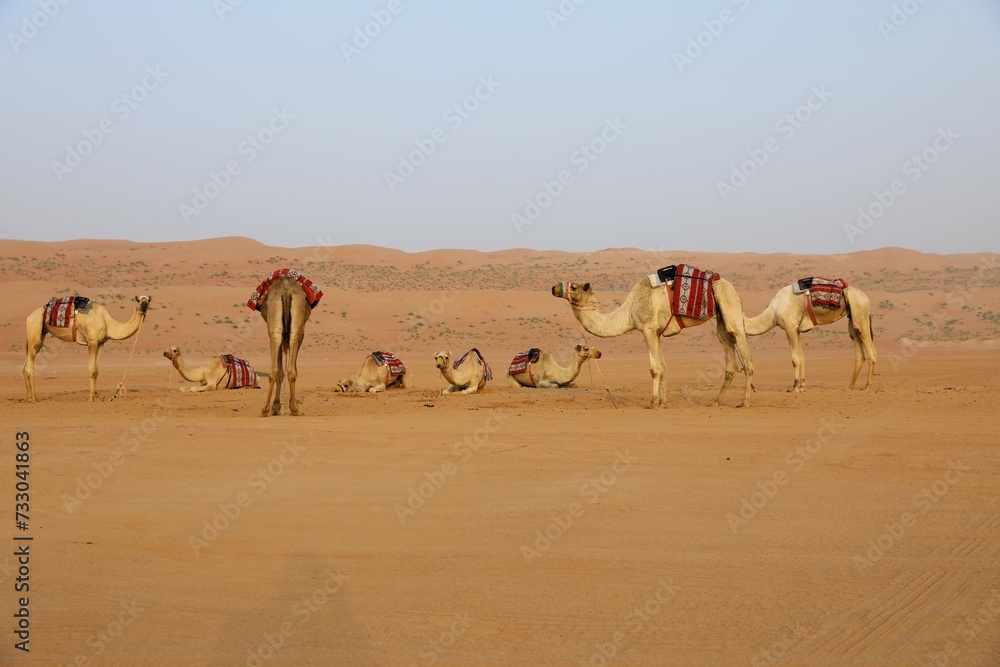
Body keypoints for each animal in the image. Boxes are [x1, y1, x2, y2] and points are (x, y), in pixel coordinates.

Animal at [21, 294, 151, 402]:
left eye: (149, 299)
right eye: (138, 300)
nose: (144, 305)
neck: (108, 323)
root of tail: (29, 316)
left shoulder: (101, 343)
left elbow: (96, 371)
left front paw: (97, 397)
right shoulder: (92, 341)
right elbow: (91, 370)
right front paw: (91, 397)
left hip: (38, 333)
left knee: (24, 366)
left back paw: (29, 397)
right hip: (35, 328)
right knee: (29, 367)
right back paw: (34, 398)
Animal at [552, 268, 752, 408]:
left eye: (574, 286)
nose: (554, 287)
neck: (628, 312)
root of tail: (733, 289)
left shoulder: (647, 329)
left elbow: (655, 369)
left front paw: (652, 403)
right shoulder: (657, 332)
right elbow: (663, 367)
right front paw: (663, 403)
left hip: (729, 303)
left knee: (745, 356)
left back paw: (744, 403)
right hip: (721, 317)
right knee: (728, 352)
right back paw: (716, 402)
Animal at [744, 280, 876, 394]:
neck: (774, 311)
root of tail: (865, 298)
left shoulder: (790, 328)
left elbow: (795, 359)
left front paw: (795, 388)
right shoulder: (797, 330)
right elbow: (802, 358)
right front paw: (802, 386)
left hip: (859, 310)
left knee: (870, 350)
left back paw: (867, 387)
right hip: (852, 316)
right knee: (858, 350)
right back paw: (850, 387)